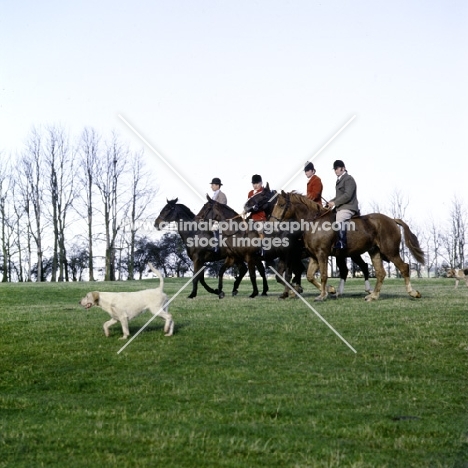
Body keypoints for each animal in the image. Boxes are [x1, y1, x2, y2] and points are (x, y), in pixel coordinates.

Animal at [241, 186, 372, 296]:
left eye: (262, 194)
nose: (246, 205)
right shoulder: (285, 256)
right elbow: (281, 277)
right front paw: (295, 290)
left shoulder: (291, 255)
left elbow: (289, 275)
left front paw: (293, 291)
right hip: (341, 254)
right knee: (346, 270)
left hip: (352, 253)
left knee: (362, 266)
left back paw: (367, 289)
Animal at [268, 192, 426, 302]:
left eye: (281, 205)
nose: (270, 224)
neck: (313, 222)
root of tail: (392, 220)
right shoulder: (313, 257)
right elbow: (310, 276)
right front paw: (327, 291)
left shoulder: (321, 254)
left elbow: (322, 275)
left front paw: (323, 295)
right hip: (374, 252)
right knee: (380, 273)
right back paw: (373, 296)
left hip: (389, 251)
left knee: (403, 267)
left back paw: (412, 293)